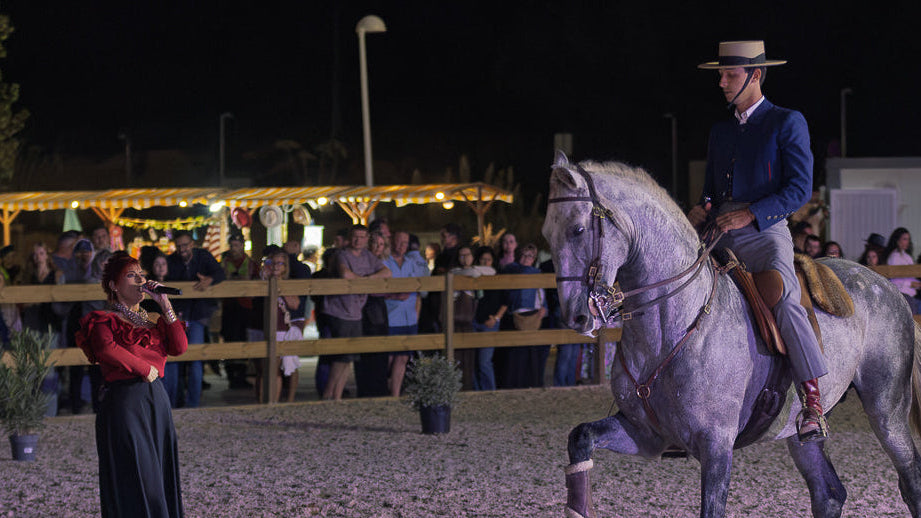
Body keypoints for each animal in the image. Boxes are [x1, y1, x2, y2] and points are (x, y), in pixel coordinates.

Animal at [541, 153, 921, 518]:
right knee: (828, 494)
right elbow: (581, 437)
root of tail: (886, 285)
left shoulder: (717, 446)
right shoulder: (645, 433)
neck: (671, 329)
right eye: (547, 234)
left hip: (886, 411)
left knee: (910, 480)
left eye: (577, 229)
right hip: (800, 434)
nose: (577, 315)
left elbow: (712, 507)